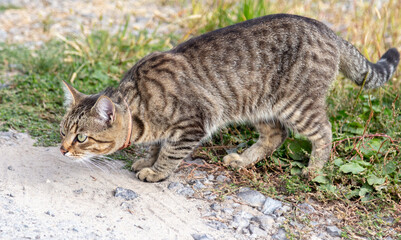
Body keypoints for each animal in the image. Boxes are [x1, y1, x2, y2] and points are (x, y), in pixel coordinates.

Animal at [58, 13, 396, 182]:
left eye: (81, 138)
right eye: (63, 132)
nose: (62, 150)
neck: (141, 107)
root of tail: (327, 29)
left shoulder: (194, 121)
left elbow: (170, 152)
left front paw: (156, 171)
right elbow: (158, 145)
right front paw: (148, 159)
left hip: (296, 103)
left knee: (324, 132)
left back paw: (313, 171)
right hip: (260, 106)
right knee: (276, 135)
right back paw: (243, 160)